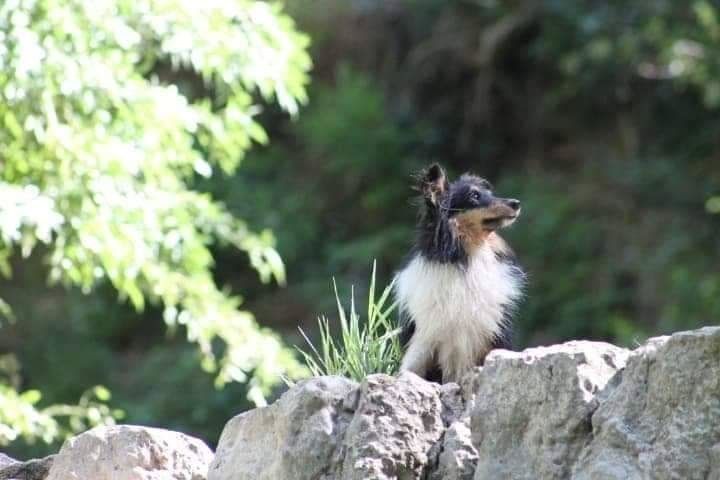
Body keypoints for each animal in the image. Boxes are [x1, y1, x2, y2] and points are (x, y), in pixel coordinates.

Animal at [394, 164, 524, 382]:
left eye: (490, 193)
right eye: (474, 195)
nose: (516, 203)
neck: (465, 261)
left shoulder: (487, 336)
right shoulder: (425, 338)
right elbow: (409, 369)